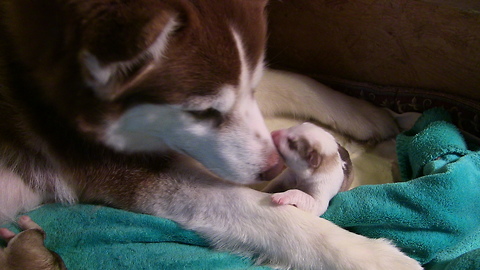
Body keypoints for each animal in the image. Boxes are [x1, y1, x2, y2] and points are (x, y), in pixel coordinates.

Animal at [0, 1, 420, 268]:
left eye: (250, 85)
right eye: (200, 112)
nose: (272, 169)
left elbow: (294, 81)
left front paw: (367, 113)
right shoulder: (126, 170)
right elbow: (273, 216)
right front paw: (379, 258)